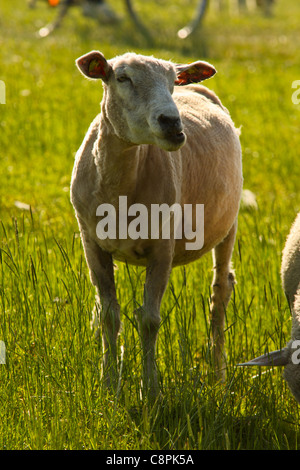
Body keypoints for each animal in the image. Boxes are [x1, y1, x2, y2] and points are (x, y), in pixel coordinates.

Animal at [71, 50, 244, 396]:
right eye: (122, 78)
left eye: (172, 83)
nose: (172, 123)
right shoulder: (92, 243)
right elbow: (108, 316)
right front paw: (109, 385)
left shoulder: (163, 246)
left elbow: (150, 320)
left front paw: (150, 390)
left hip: (227, 225)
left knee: (220, 293)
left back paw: (218, 375)